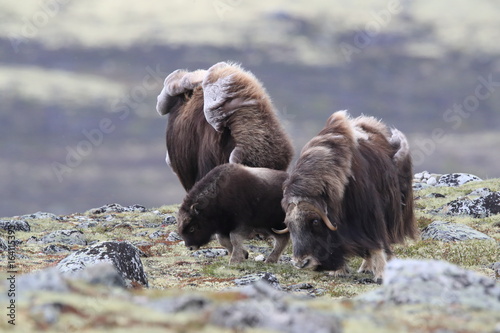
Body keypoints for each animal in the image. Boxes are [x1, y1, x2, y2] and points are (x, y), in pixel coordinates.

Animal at [276, 109, 416, 280]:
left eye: (315, 221)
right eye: (289, 224)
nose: (300, 263)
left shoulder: (369, 217)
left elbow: (376, 244)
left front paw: (381, 275)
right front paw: (339, 271)